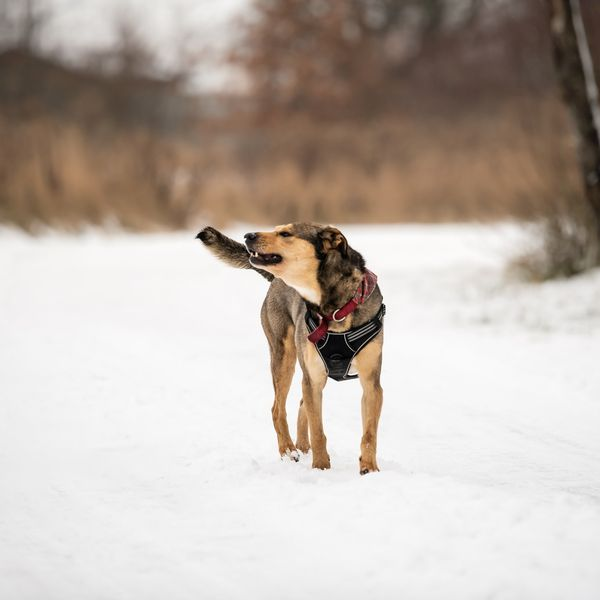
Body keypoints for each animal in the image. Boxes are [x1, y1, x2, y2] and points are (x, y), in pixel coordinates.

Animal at [197, 223, 384, 476]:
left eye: (285, 233)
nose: (248, 235)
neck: (334, 309)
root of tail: (276, 281)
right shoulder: (313, 378)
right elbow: (318, 431)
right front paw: (321, 468)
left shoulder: (370, 381)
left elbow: (369, 433)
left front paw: (369, 469)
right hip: (284, 357)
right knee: (278, 409)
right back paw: (288, 450)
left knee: (301, 404)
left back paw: (302, 446)